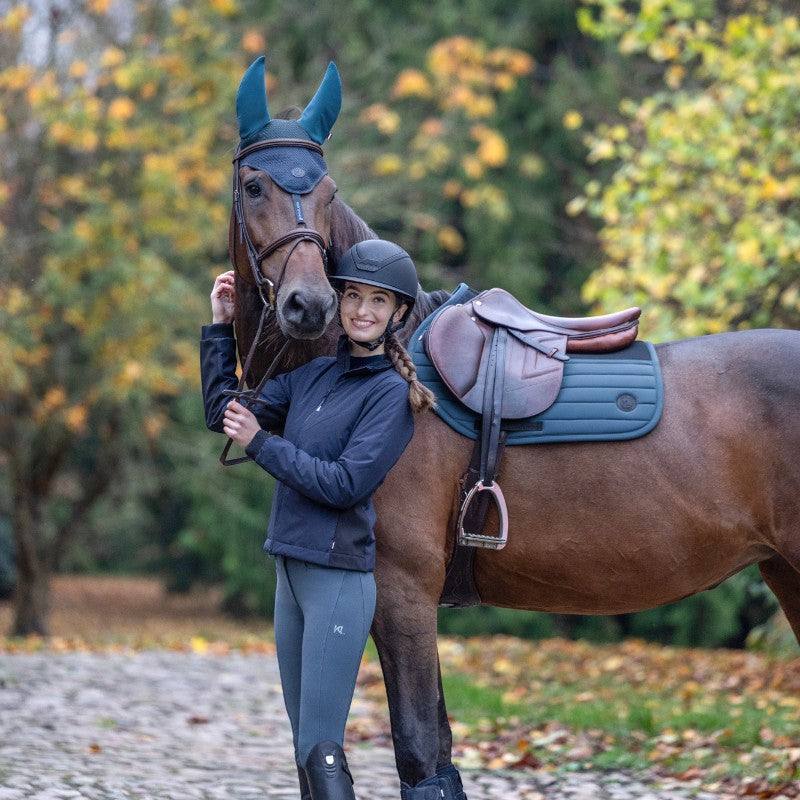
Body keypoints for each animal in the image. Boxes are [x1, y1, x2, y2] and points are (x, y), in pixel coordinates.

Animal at [226, 57, 800, 796]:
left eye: (328, 192)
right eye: (254, 185)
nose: (310, 304)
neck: (380, 369)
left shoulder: (400, 591)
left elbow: (420, 750)